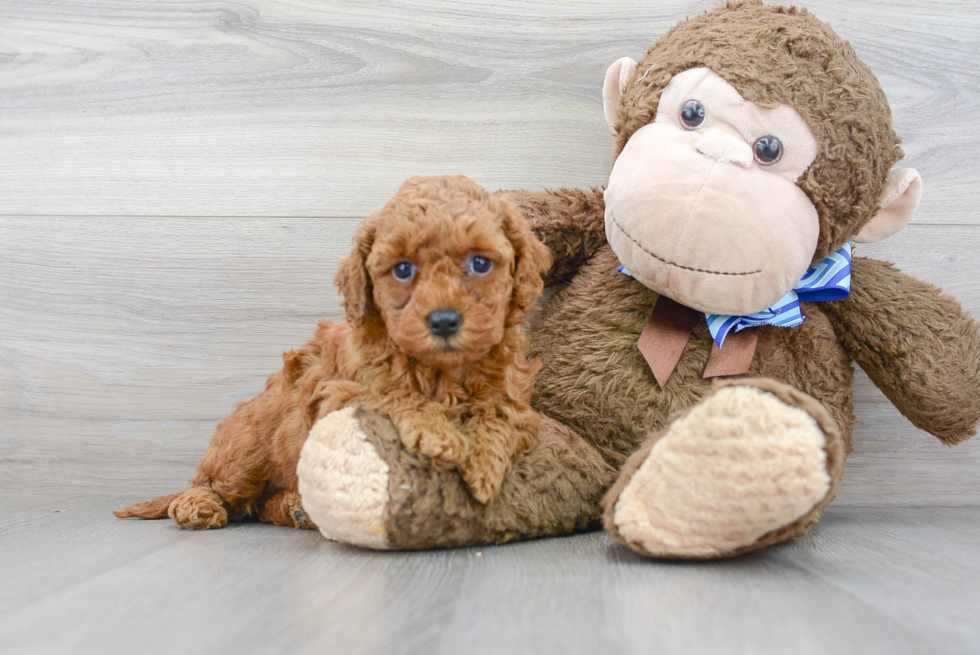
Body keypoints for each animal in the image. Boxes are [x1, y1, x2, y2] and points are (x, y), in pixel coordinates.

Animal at [115, 173, 552, 528]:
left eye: (480, 263)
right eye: (403, 269)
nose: (443, 321)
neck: (442, 371)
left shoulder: (516, 401)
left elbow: (497, 415)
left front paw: (485, 468)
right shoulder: (340, 394)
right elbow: (394, 395)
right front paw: (440, 435)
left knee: (262, 505)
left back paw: (296, 508)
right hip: (245, 448)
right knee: (217, 488)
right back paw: (198, 506)